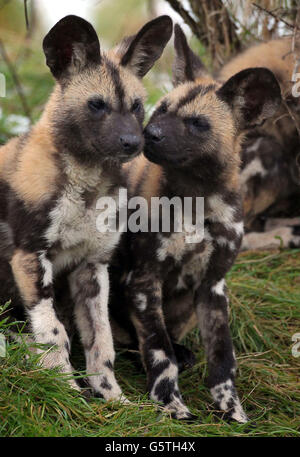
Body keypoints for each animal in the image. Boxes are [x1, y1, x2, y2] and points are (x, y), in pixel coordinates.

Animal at [0, 14, 172, 400]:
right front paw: (64, 390)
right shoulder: (30, 260)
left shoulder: (92, 267)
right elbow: (53, 334)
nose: (133, 142)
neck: (87, 186)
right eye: (97, 105)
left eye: (136, 106)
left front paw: (111, 397)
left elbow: (100, 340)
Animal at [109, 25, 282, 420]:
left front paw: (232, 411)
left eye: (198, 124)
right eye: (161, 109)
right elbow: (159, 354)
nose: (149, 134)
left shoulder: (212, 287)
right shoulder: (144, 282)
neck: (195, 198)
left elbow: (223, 359)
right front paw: (171, 405)